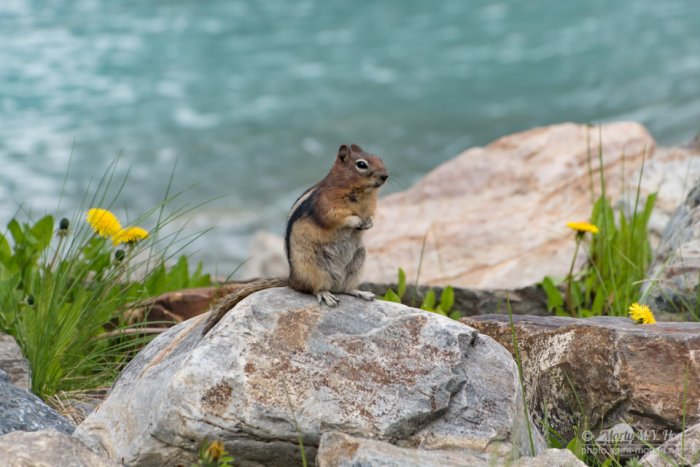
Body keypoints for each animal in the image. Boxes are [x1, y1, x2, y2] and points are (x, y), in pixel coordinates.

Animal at [202, 143, 388, 334]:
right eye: (361, 164)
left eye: (379, 158)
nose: (385, 176)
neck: (361, 192)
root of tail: (293, 280)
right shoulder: (326, 205)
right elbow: (336, 218)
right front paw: (357, 221)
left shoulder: (370, 207)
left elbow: (371, 216)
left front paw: (369, 223)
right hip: (313, 267)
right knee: (315, 289)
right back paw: (326, 295)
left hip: (357, 263)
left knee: (343, 289)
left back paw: (360, 292)